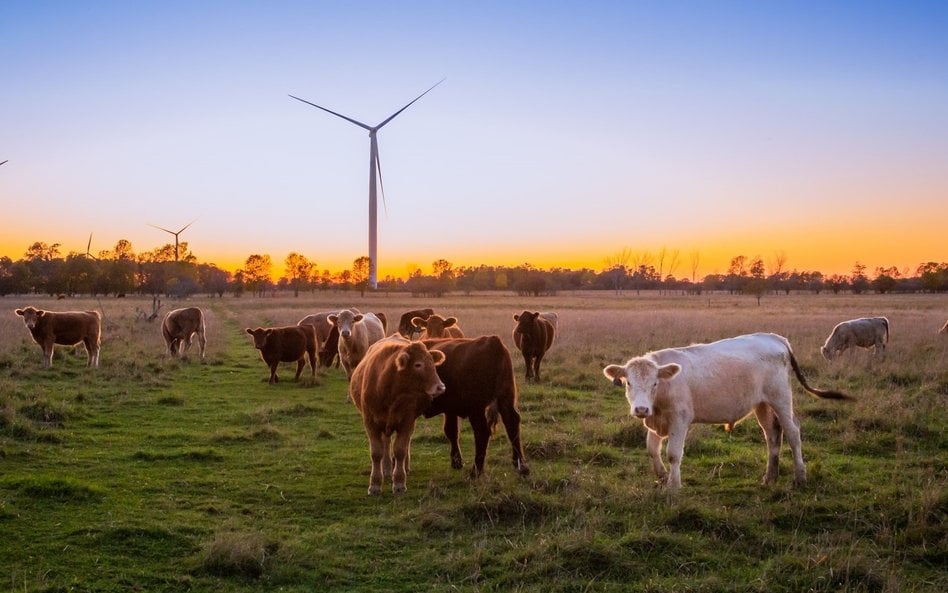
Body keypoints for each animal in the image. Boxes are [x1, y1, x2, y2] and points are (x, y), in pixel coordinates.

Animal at [350, 332, 446, 494]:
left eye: (433, 363)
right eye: (418, 364)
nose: (441, 387)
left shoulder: (407, 421)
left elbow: (400, 450)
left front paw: (400, 482)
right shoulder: (370, 423)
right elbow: (376, 452)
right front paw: (375, 484)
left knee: (404, 443)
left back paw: (404, 468)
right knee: (386, 442)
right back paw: (387, 469)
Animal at [424, 336, 528, 478]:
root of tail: (492, 341)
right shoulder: (450, 409)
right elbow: (451, 431)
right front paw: (456, 461)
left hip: (476, 409)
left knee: (482, 432)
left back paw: (475, 471)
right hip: (505, 399)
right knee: (512, 424)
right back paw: (521, 466)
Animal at [604, 332, 856, 490]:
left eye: (655, 383)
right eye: (628, 383)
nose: (641, 408)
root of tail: (774, 337)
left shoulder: (679, 419)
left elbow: (673, 453)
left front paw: (673, 487)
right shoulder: (656, 420)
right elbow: (651, 449)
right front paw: (663, 476)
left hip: (781, 398)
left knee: (793, 433)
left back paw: (800, 477)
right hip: (762, 404)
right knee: (773, 436)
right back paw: (770, 477)